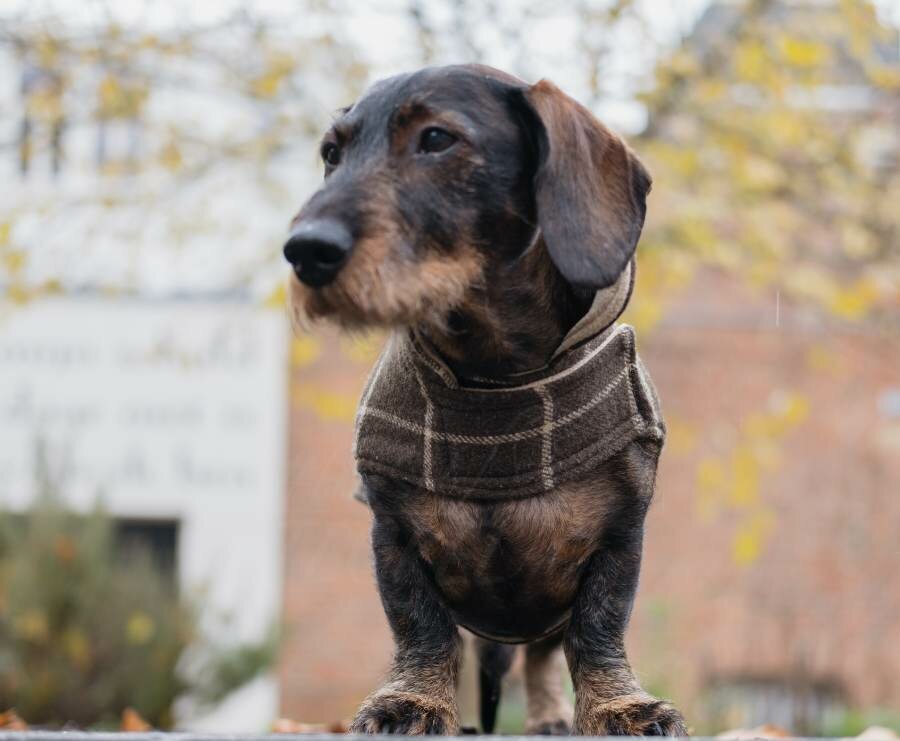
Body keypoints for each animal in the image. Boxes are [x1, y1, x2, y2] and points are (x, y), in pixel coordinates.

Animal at [283, 64, 687, 736]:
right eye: (331, 154)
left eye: (437, 138)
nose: (304, 251)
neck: (496, 382)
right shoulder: (393, 534)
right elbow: (422, 625)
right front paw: (412, 702)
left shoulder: (620, 534)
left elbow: (598, 628)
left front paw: (621, 706)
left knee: (543, 654)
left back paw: (549, 715)